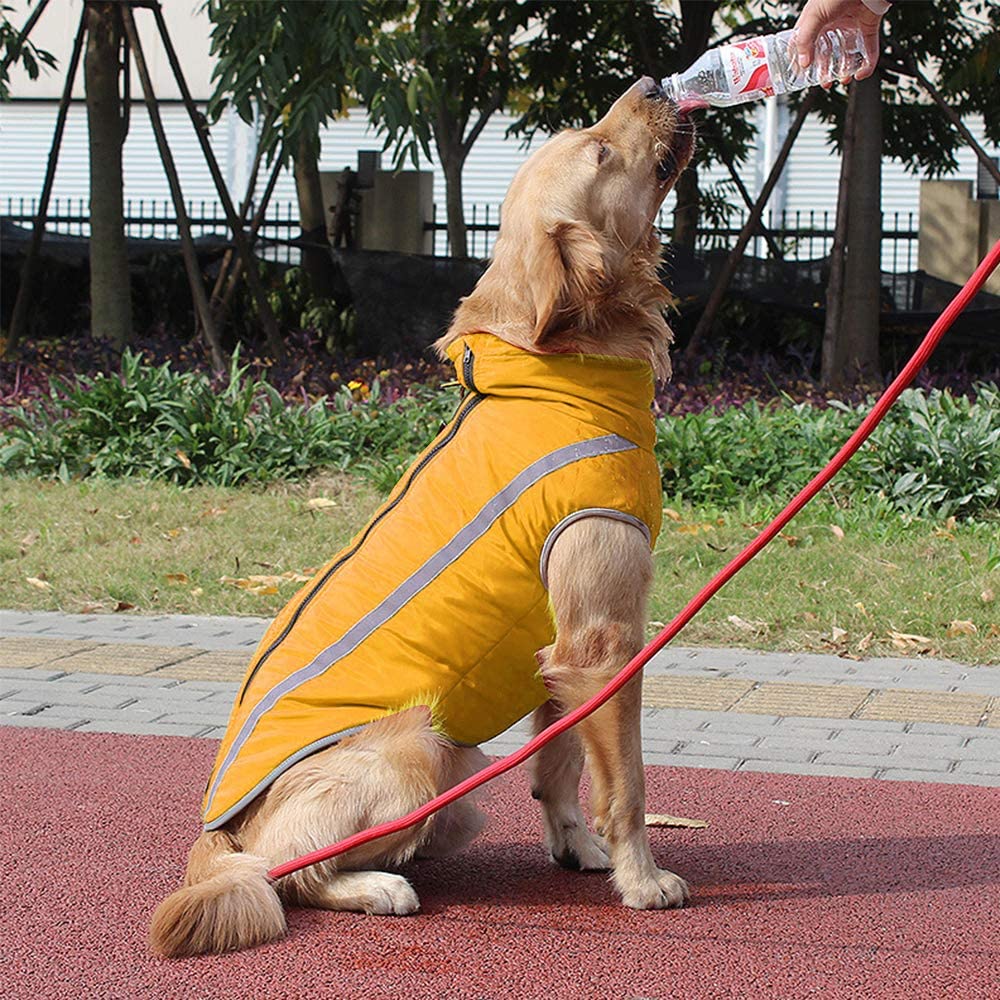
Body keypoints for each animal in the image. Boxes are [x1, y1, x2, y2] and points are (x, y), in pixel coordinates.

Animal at [150, 76, 696, 952]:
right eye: (601, 150)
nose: (650, 83)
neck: (553, 375)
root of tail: (217, 830)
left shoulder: (560, 650)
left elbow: (560, 766)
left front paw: (577, 849)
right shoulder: (605, 641)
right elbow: (628, 786)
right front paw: (641, 881)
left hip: (460, 788)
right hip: (420, 749)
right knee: (286, 875)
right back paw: (378, 886)